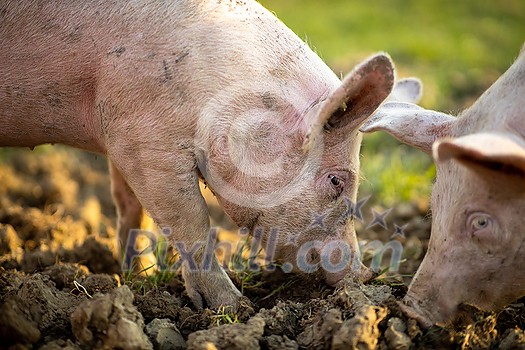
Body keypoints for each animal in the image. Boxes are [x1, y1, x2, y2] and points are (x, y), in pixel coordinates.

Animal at [0, 0, 418, 308]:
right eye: (336, 181)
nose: (364, 275)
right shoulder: (144, 138)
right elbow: (191, 222)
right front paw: (234, 307)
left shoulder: (116, 132)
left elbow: (131, 208)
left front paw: (139, 277)